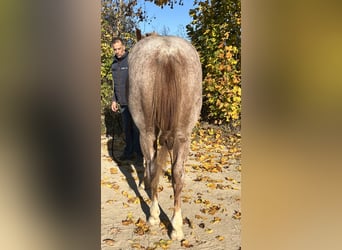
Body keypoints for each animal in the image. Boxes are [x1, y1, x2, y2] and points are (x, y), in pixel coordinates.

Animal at [128, 31, 203, 240]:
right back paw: (176, 227)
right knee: (177, 173)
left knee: (154, 167)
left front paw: (143, 182)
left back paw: (153, 216)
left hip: (146, 132)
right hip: (184, 134)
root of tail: (166, 53)